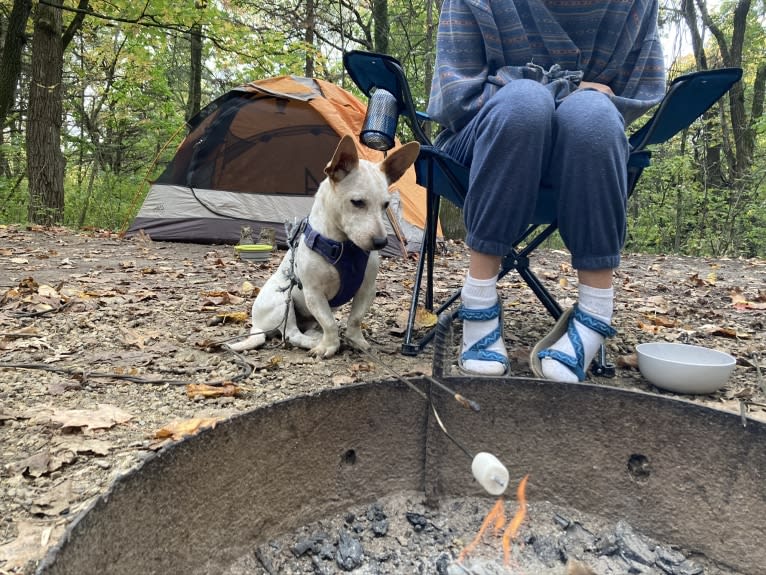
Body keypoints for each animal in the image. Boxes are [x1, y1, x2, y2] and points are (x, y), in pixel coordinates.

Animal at [230, 137, 420, 358]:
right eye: (357, 202)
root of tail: (257, 325)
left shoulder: (367, 290)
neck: (345, 246)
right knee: (291, 334)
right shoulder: (314, 294)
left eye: (386, 205)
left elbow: (355, 319)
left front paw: (356, 340)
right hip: (283, 301)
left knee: (309, 327)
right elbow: (329, 323)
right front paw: (329, 346)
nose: (381, 242)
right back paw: (312, 341)